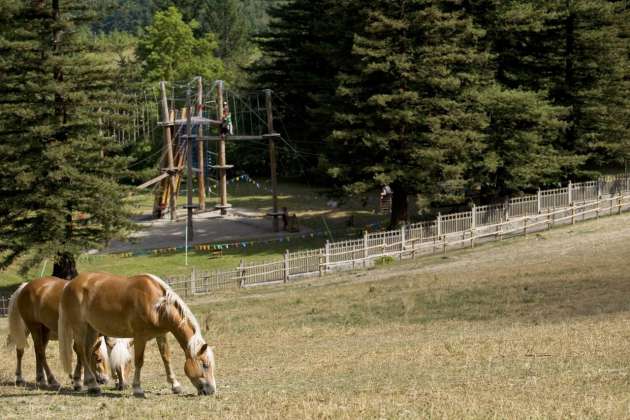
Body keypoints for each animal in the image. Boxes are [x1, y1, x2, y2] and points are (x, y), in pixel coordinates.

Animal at [59, 272, 217, 398]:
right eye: (205, 365)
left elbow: (166, 358)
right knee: (80, 351)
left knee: (86, 353)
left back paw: (89, 384)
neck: (157, 305)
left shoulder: (161, 335)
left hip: (92, 330)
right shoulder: (140, 337)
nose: (211, 391)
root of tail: (69, 284)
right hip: (80, 328)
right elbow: (139, 361)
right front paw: (138, 389)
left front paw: (175, 385)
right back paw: (92, 385)